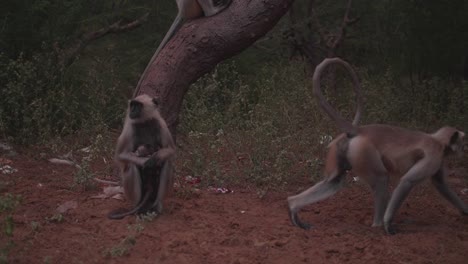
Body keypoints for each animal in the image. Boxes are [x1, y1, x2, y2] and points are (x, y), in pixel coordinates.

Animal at [288, 58, 466, 235]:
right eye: (462, 144)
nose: (464, 150)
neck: (438, 140)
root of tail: (360, 130)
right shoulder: (435, 154)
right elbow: (407, 181)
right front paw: (388, 224)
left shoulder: (439, 157)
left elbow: (441, 184)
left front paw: (465, 212)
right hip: (363, 151)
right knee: (381, 178)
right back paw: (378, 225)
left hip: (342, 148)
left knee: (334, 181)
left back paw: (293, 206)